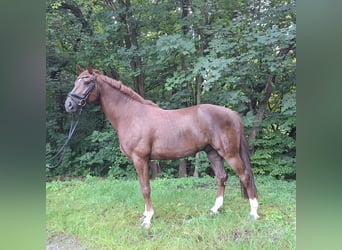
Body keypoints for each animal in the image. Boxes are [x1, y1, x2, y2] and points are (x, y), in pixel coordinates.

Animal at [65, 65, 260, 229]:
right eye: (75, 82)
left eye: (87, 82)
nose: (69, 105)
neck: (131, 115)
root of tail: (232, 113)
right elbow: (143, 186)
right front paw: (145, 215)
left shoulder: (140, 159)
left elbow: (145, 188)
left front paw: (148, 219)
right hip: (213, 152)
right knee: (222, 177)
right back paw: (214, 209)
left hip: (230, 153)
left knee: (245, 176)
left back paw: (253, 213)